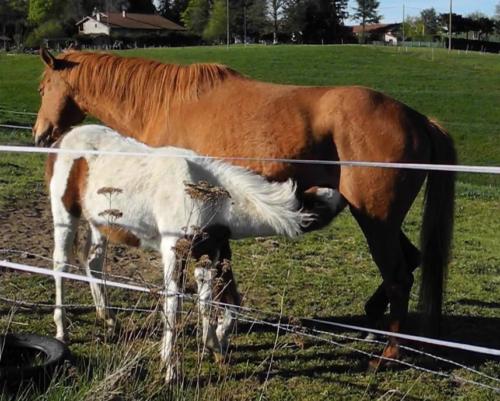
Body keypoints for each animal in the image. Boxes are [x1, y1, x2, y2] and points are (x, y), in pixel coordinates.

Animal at [33, 48, 456, 360]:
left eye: (42, 87)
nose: (40, 135)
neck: (167, 104)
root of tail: (419, 120)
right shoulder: (214, 227)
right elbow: (221, 283)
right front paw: (219, 334)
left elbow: (222, 285)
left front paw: (219, 335)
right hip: (380, 220)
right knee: (411, 260)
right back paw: (372, 323)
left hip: (376, 221)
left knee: (399, 275)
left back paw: (389, 353)